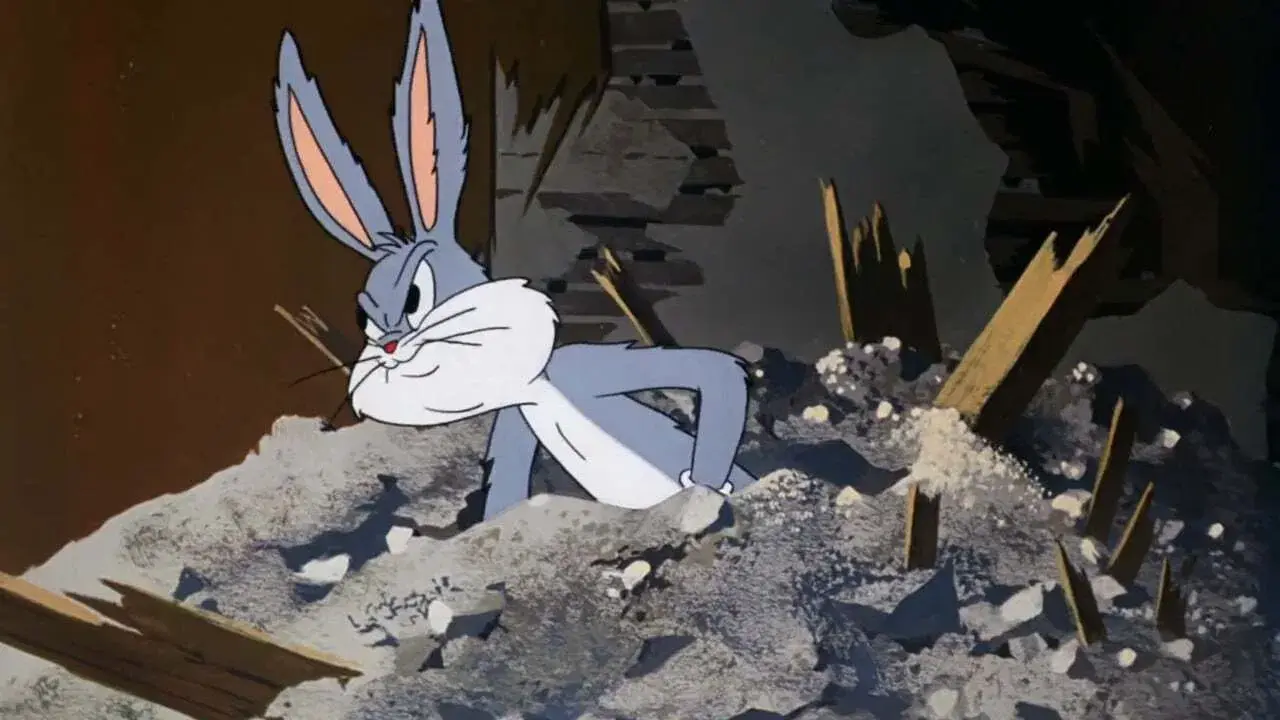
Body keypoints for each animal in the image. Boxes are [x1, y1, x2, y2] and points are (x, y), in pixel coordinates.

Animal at [273, 0, 756, 521]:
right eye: (363, 316)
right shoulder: (518, 419)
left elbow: (716, 370)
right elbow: (505, 490)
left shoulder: (582, 366)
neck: (537, 389)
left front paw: (702, 490)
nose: (390, 348)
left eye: (416, 296)